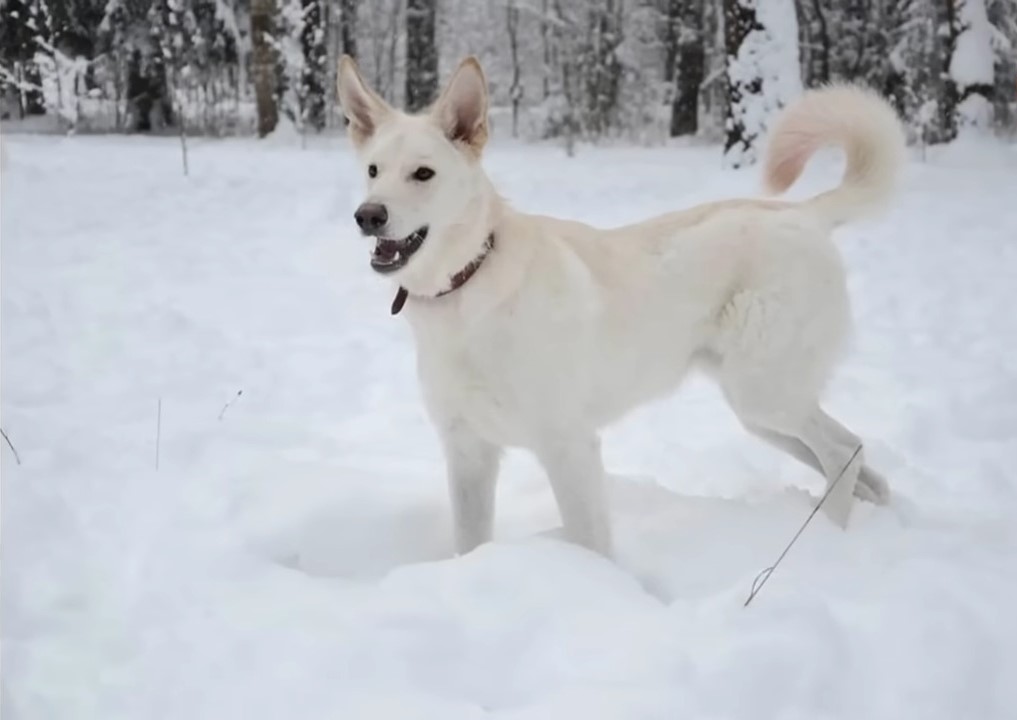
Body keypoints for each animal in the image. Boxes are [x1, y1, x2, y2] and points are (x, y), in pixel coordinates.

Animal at [337, 54, 903, 557]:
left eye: (423, 174)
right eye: (373, 170)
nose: (367, 216)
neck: (469, 284)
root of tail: (805, 214)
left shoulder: (568, 447)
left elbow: (591, 545)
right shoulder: (468, 452)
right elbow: (469, 544)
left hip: (765, 394)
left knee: (844, 451)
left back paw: (828, 541)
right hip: (761, 412)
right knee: (859, 463)